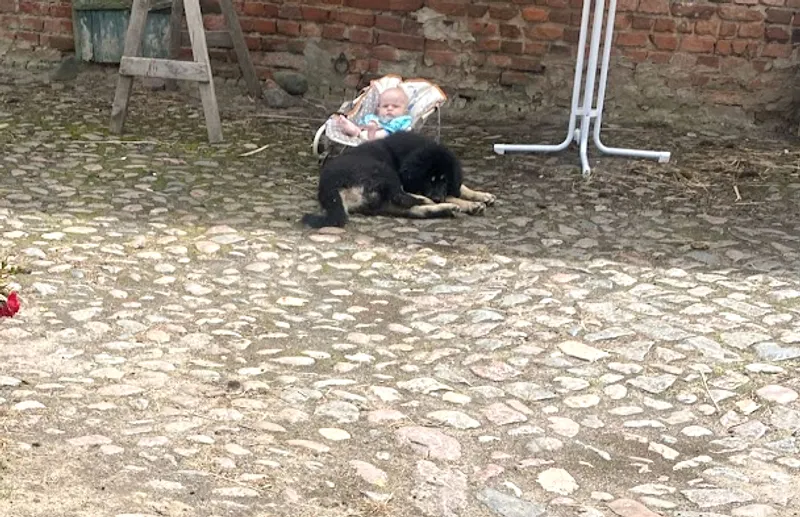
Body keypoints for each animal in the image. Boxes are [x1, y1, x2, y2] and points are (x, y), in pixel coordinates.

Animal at [302, 132, 495, 229]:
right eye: (429, 180)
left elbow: (460, 187)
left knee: (413, 208)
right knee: (402, 196)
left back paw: (445, 209)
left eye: (445, 180)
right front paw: (470, 204)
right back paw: (437, 203)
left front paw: (481, 195)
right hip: (384, 172)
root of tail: (328, 185)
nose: (437, 197)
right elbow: (451, 194)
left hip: (382, 204)